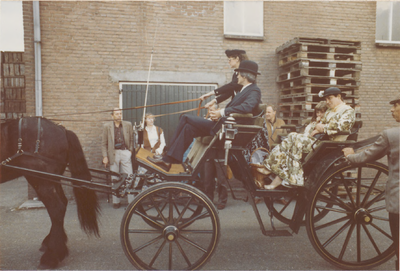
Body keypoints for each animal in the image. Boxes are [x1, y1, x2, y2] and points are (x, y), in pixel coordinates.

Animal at [0, 118, 100, 270]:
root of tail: (61, 129)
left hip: (41, 180)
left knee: (56, 208)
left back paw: (51, 256)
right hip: (52, 179)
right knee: (62, 205)